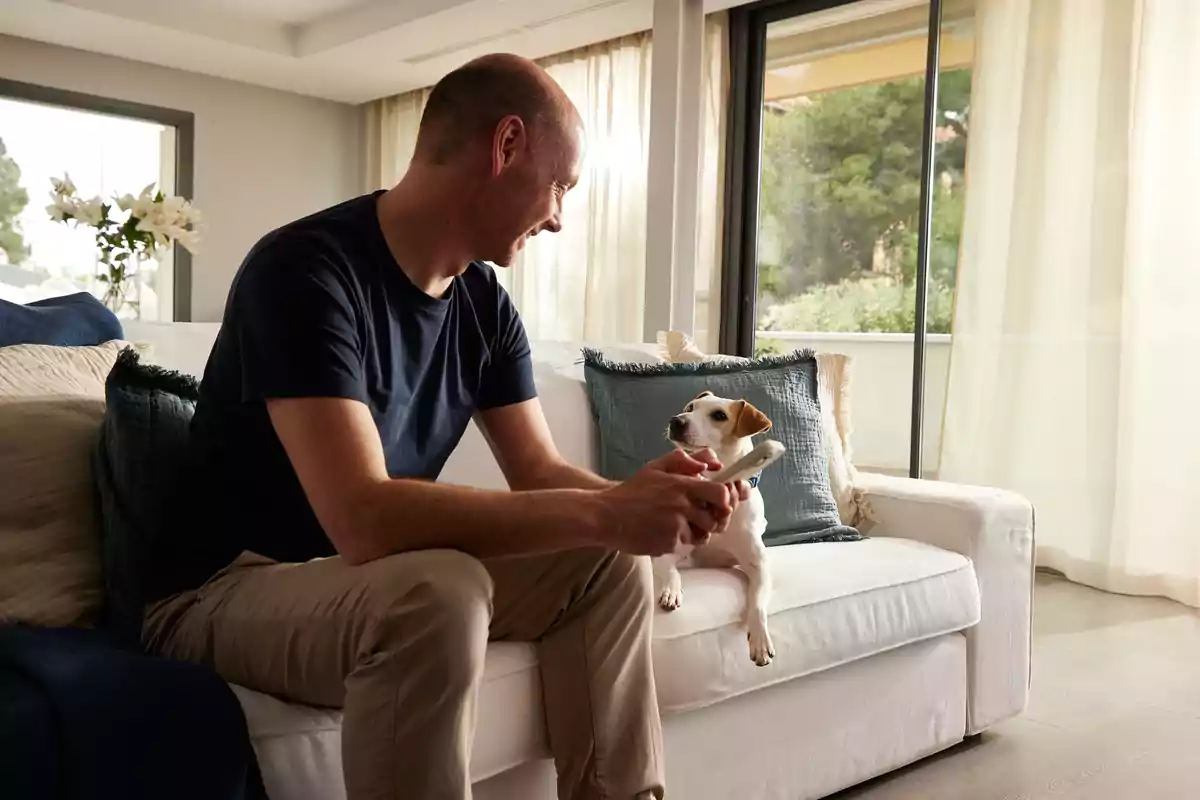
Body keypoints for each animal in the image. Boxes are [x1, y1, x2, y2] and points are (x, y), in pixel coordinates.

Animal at [657, 391, 777, 666]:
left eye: (719, 415)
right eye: (691, 407)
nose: (676, 420)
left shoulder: (758, 565)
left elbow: (757, 603)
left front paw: (760, 640)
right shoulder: (673, 551)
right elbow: (670, 570)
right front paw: (671, 590)